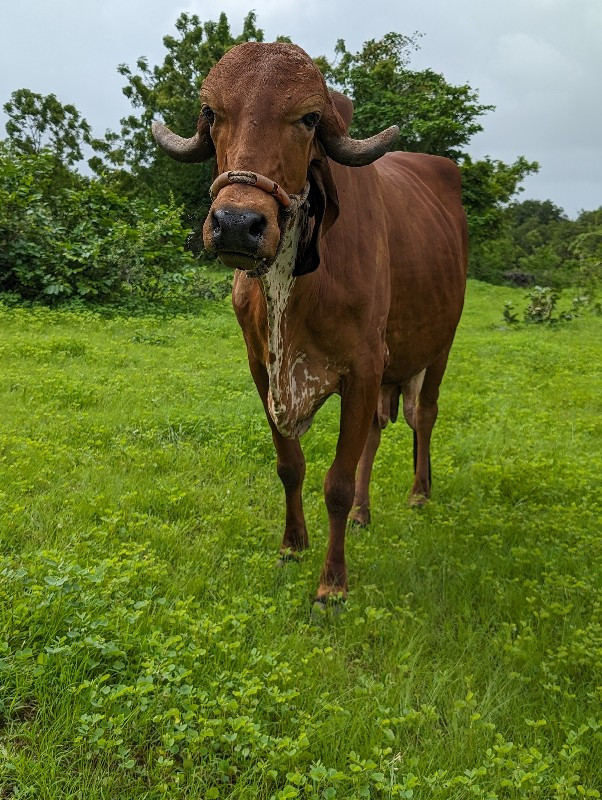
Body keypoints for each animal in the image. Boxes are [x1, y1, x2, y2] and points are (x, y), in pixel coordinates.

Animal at [152, 42, 466, 608]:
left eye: (309, 119)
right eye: (212, 113)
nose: (237, 225)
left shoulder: (363, 368)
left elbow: (335, 483)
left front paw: (333, 582)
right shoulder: (262, 369)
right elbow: (290, 465)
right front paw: (292, 544)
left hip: (440, 347)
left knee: (424, 416)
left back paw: (418, 492)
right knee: (377, 433)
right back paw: (365, 512)